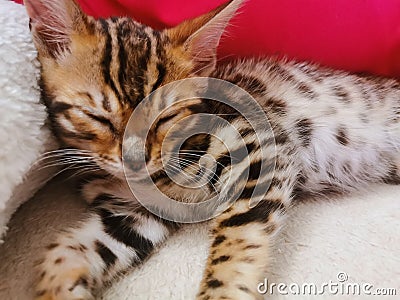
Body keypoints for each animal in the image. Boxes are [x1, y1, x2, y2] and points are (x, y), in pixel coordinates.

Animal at [25, 0, 400, 298]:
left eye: (166, 117)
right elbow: (73, 249)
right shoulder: (137, 214)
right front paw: (58, 287)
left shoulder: (261, 150)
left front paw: (223, 291)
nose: (135, 159)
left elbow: (238, 242)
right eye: (97, 117)